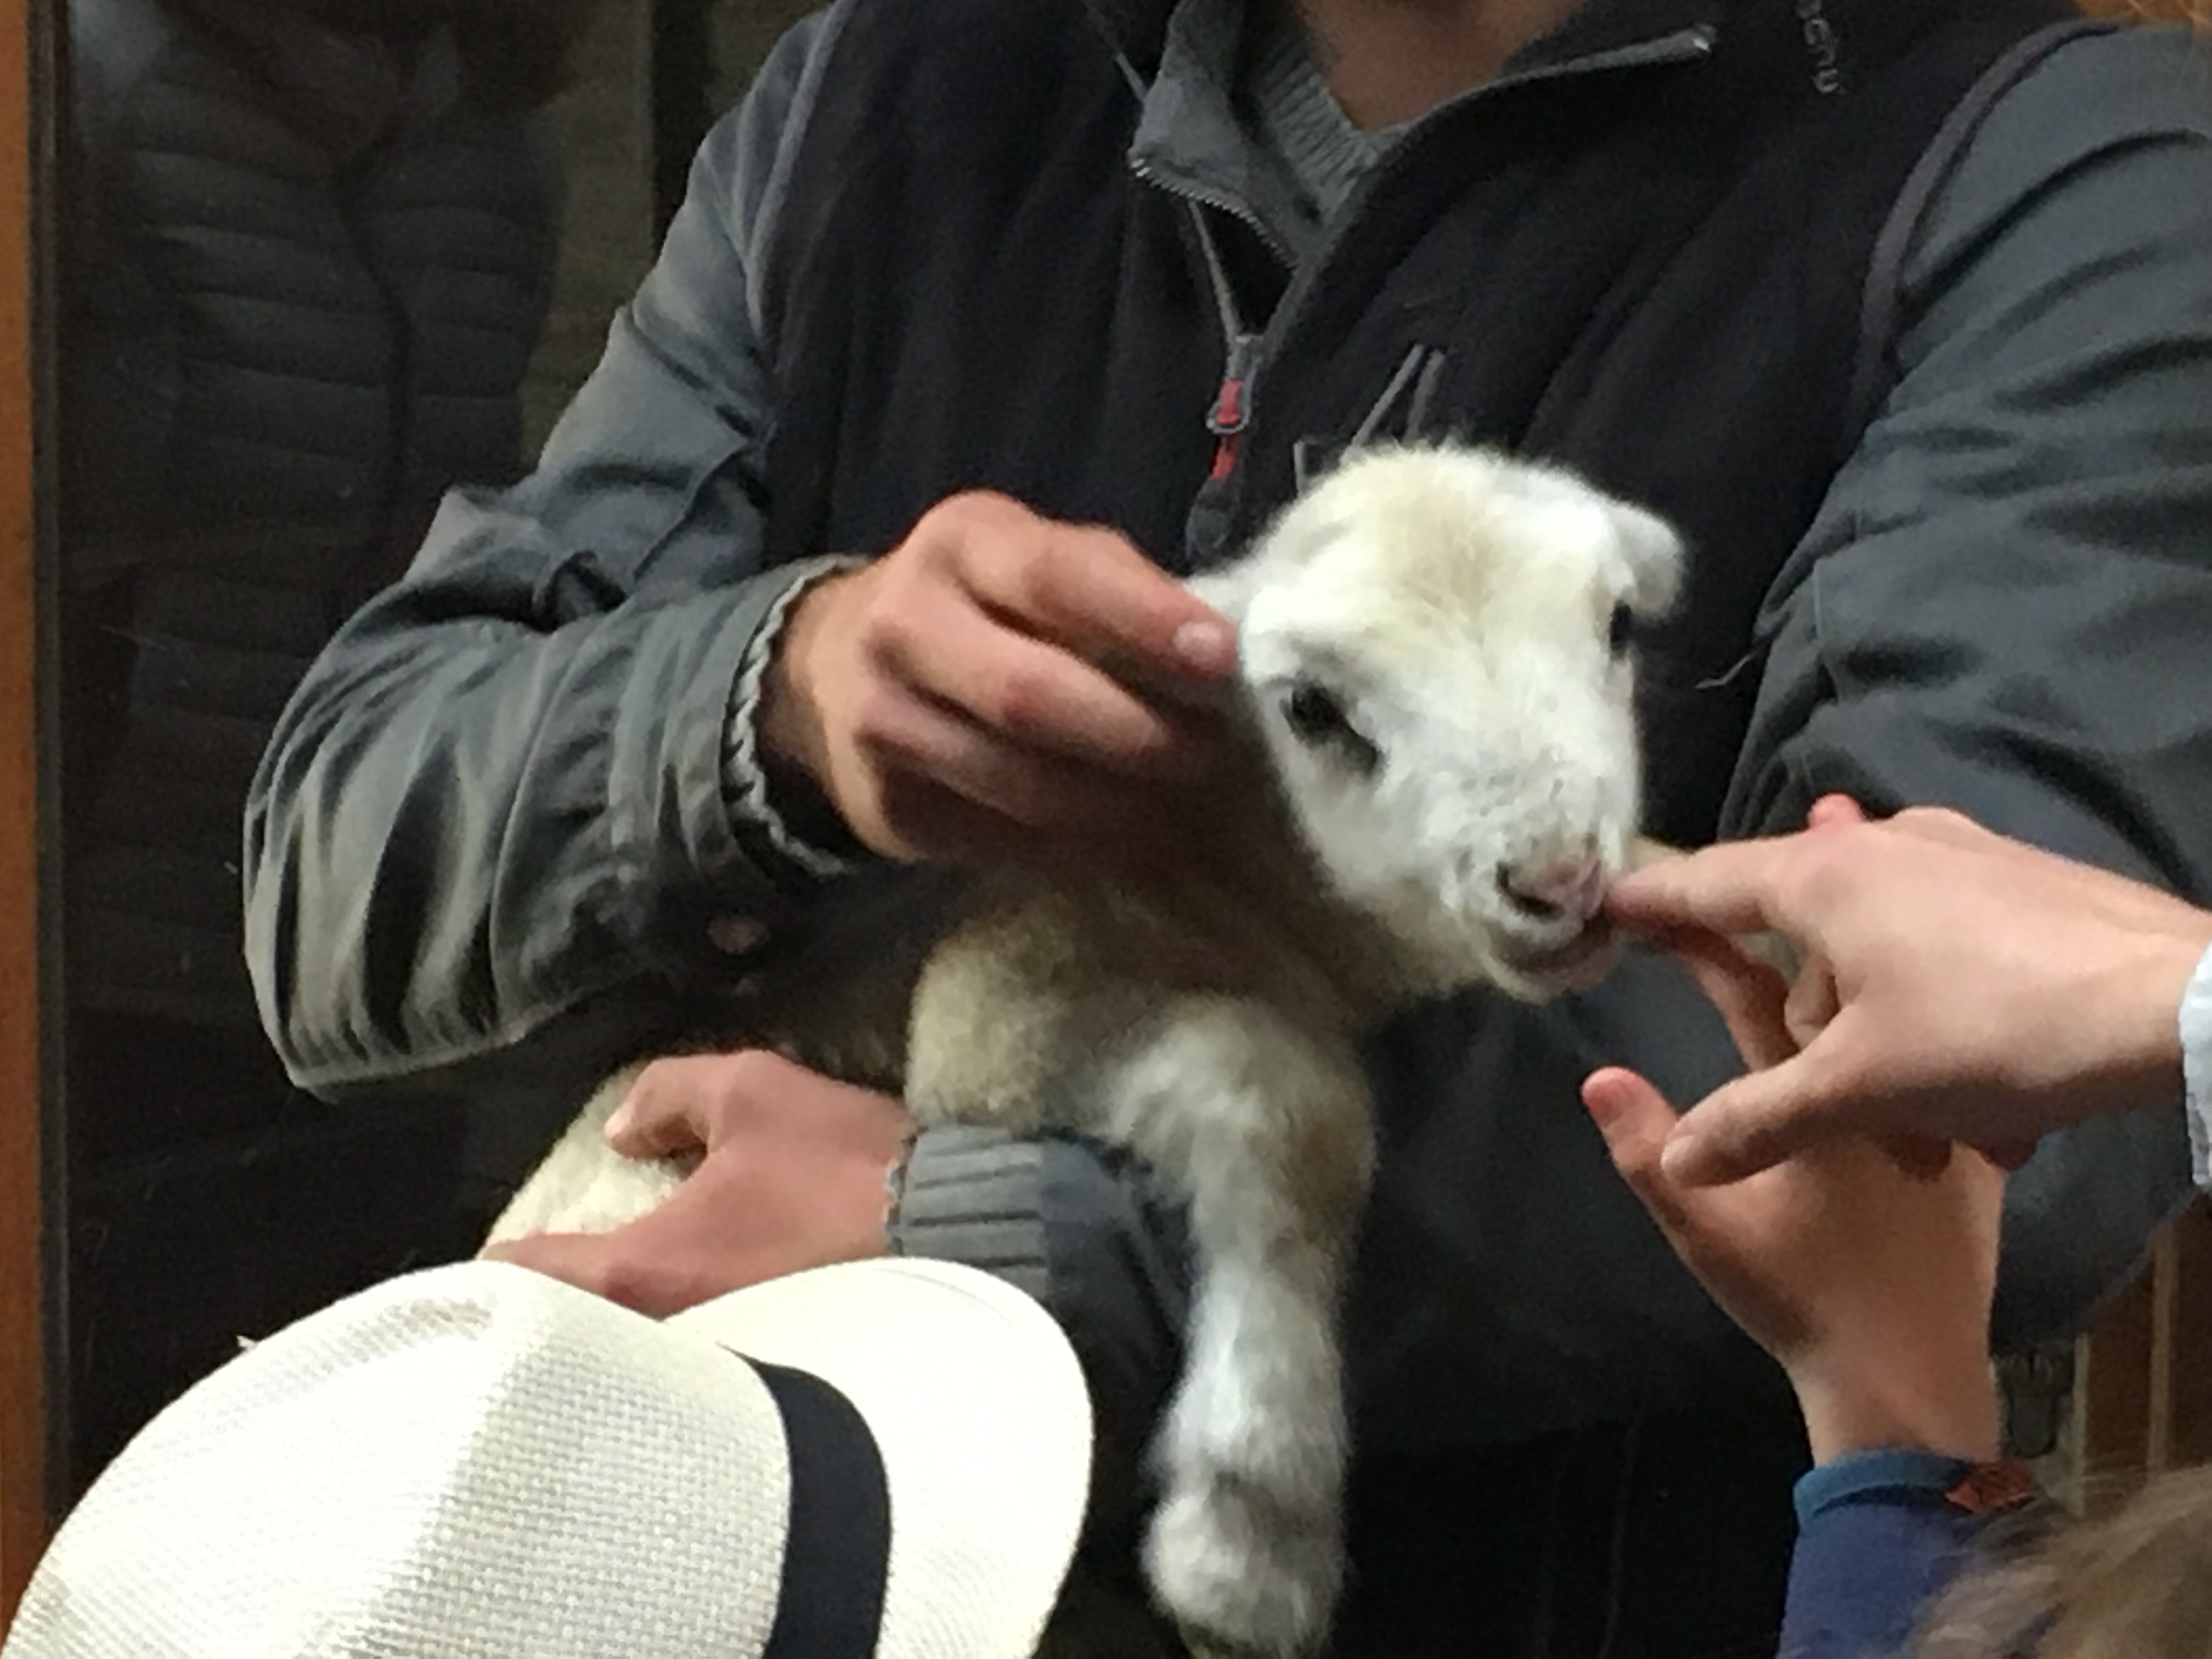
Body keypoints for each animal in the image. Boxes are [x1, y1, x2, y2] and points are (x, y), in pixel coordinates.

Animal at [484, 444, 1681, 1659]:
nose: (1558, 881)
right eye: (1310, 708)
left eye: (1619, 624)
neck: (1253, 877)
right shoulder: (998, 1007)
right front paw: (1248, 1536)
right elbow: (1282, 1098)